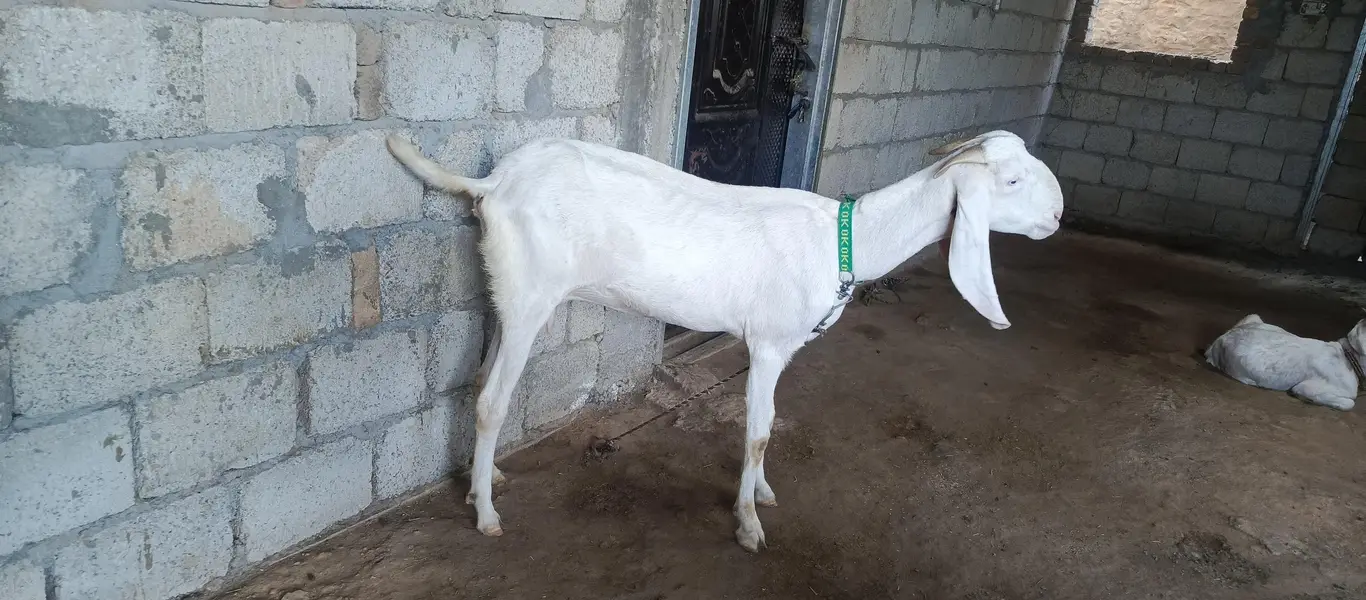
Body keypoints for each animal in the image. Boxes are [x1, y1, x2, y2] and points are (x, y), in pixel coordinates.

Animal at [385, 130, 1065, 552]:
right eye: (1009, 182)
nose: (1057, 216)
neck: (842, 240)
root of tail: (490, 185)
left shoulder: (782, 350)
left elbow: (770, 426)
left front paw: (760, 491)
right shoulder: (765, 343)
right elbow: (759, 430)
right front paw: (747, 523)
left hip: (504, 294)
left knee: (478, 381)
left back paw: (488, 477)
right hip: (529, 298)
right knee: (492, 401)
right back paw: (485, 514)